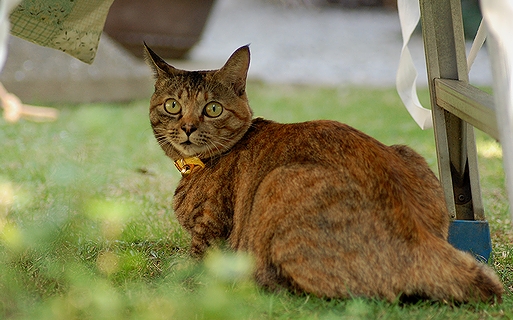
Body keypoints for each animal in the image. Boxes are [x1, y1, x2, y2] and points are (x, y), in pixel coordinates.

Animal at [143, 44, 500, 302]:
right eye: (172, 105)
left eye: (213, 109)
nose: (188, 127)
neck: (197, 167)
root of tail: (420, 235)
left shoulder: (209, 236)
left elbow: (185, 269)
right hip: (408, 153)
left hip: (277, 185)